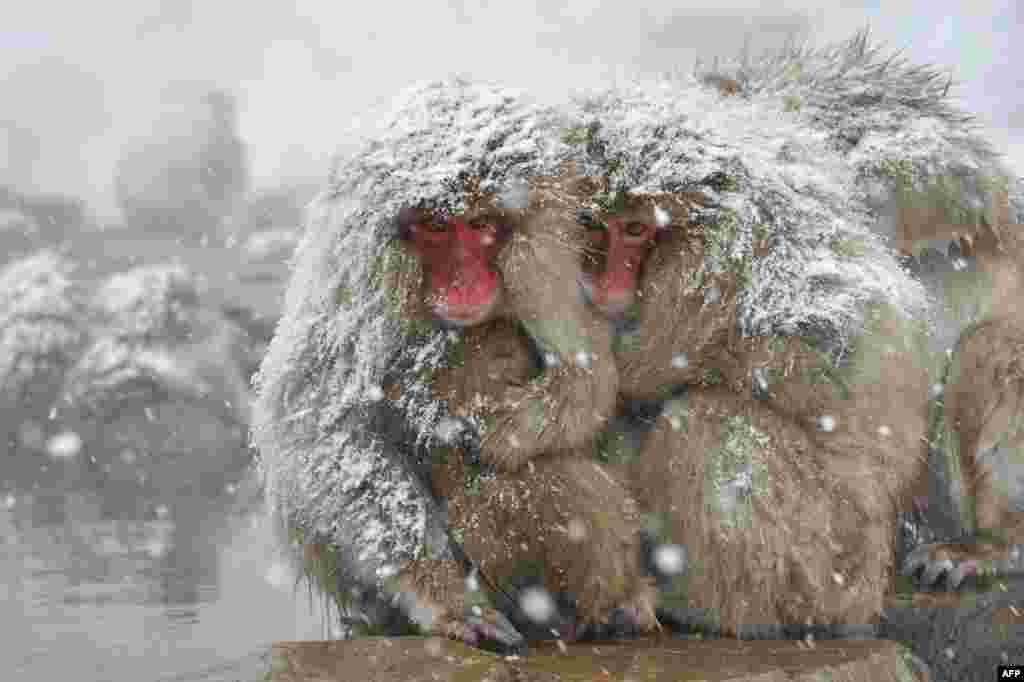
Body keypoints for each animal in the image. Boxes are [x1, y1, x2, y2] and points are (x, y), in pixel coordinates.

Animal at [573, 187, 933, 638]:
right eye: (601, 227)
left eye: (635, 229)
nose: (608, 278)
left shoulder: (700, 280)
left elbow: (635, 371)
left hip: (822, 554)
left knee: (705, 421)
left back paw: (702, 610)